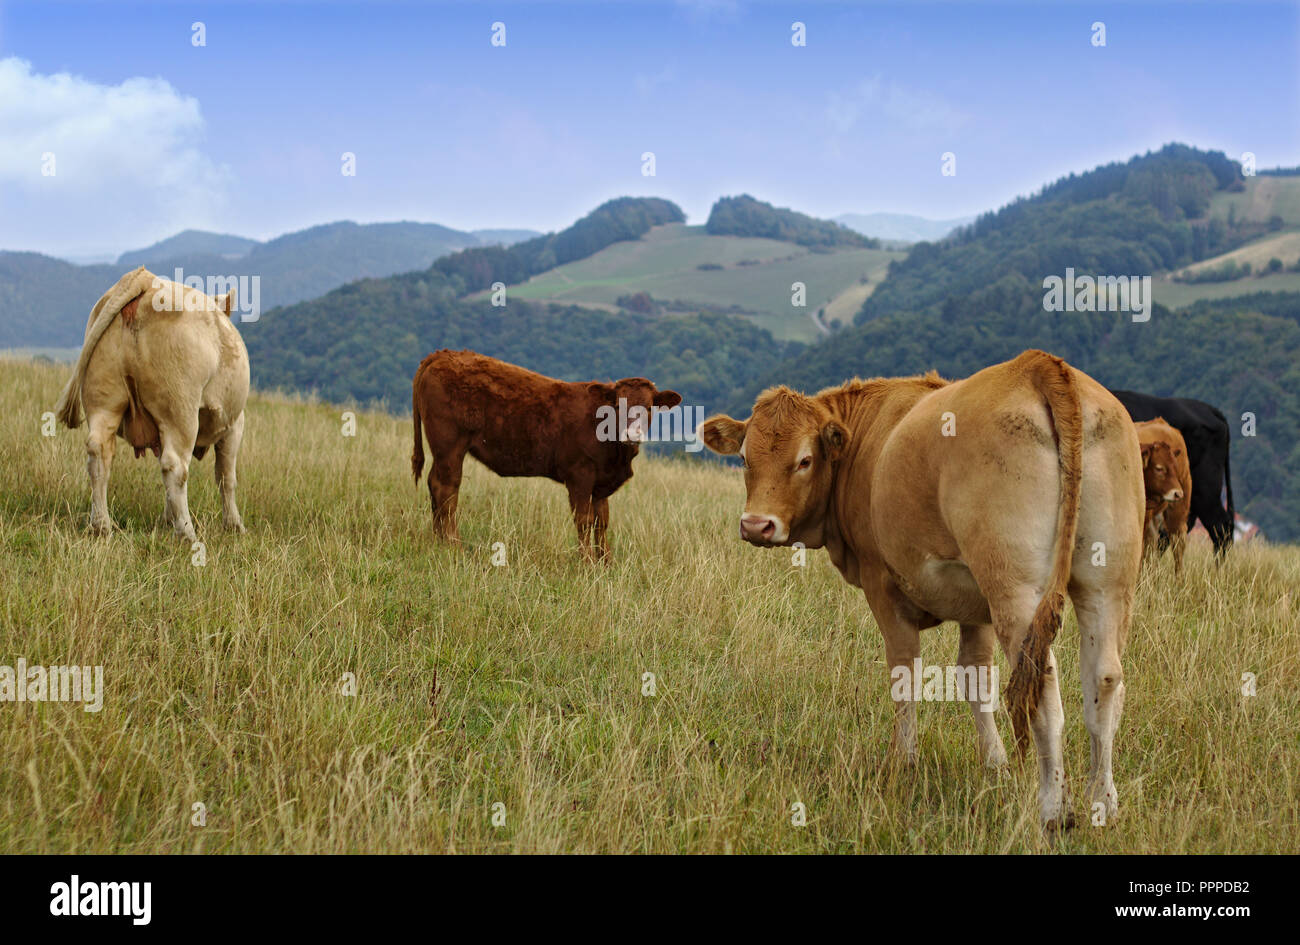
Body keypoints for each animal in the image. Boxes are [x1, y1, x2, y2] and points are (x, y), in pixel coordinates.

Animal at [53, 267, 249, 541]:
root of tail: (145, 280)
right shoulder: (234, 424)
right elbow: (226, 476)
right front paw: (234, 525)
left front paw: (167, 519)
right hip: (180, 409)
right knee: (175, 466)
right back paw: (187, 534)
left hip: (103, 399)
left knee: (99, 453)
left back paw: (102, 526)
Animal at [411, 350, 680, 561]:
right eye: (617, 405)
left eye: (649, 408)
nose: (632, 433)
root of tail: (440, 355)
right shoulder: (579, 475)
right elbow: (584, 519)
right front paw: (588, 562)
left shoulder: (601, 483)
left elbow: (601, 522)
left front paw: (606, 561)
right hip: (450, 446)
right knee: (447, 490)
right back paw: (453, 545)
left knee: (435, 485)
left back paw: (439, 541)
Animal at [700, 350, 1144, 829]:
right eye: (745, 457)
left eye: (804, 460)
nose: (756, 525)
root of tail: (1039, 365)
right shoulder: (976, 606)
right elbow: (976, 678)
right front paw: (996, 764)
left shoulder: (882, 584)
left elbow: (905, 672)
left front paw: (904, 762)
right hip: (1106, 583)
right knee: (1104, 680)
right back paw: (1103, 804)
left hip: (1017, 588)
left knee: (1041, 686)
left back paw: (1054, 810)